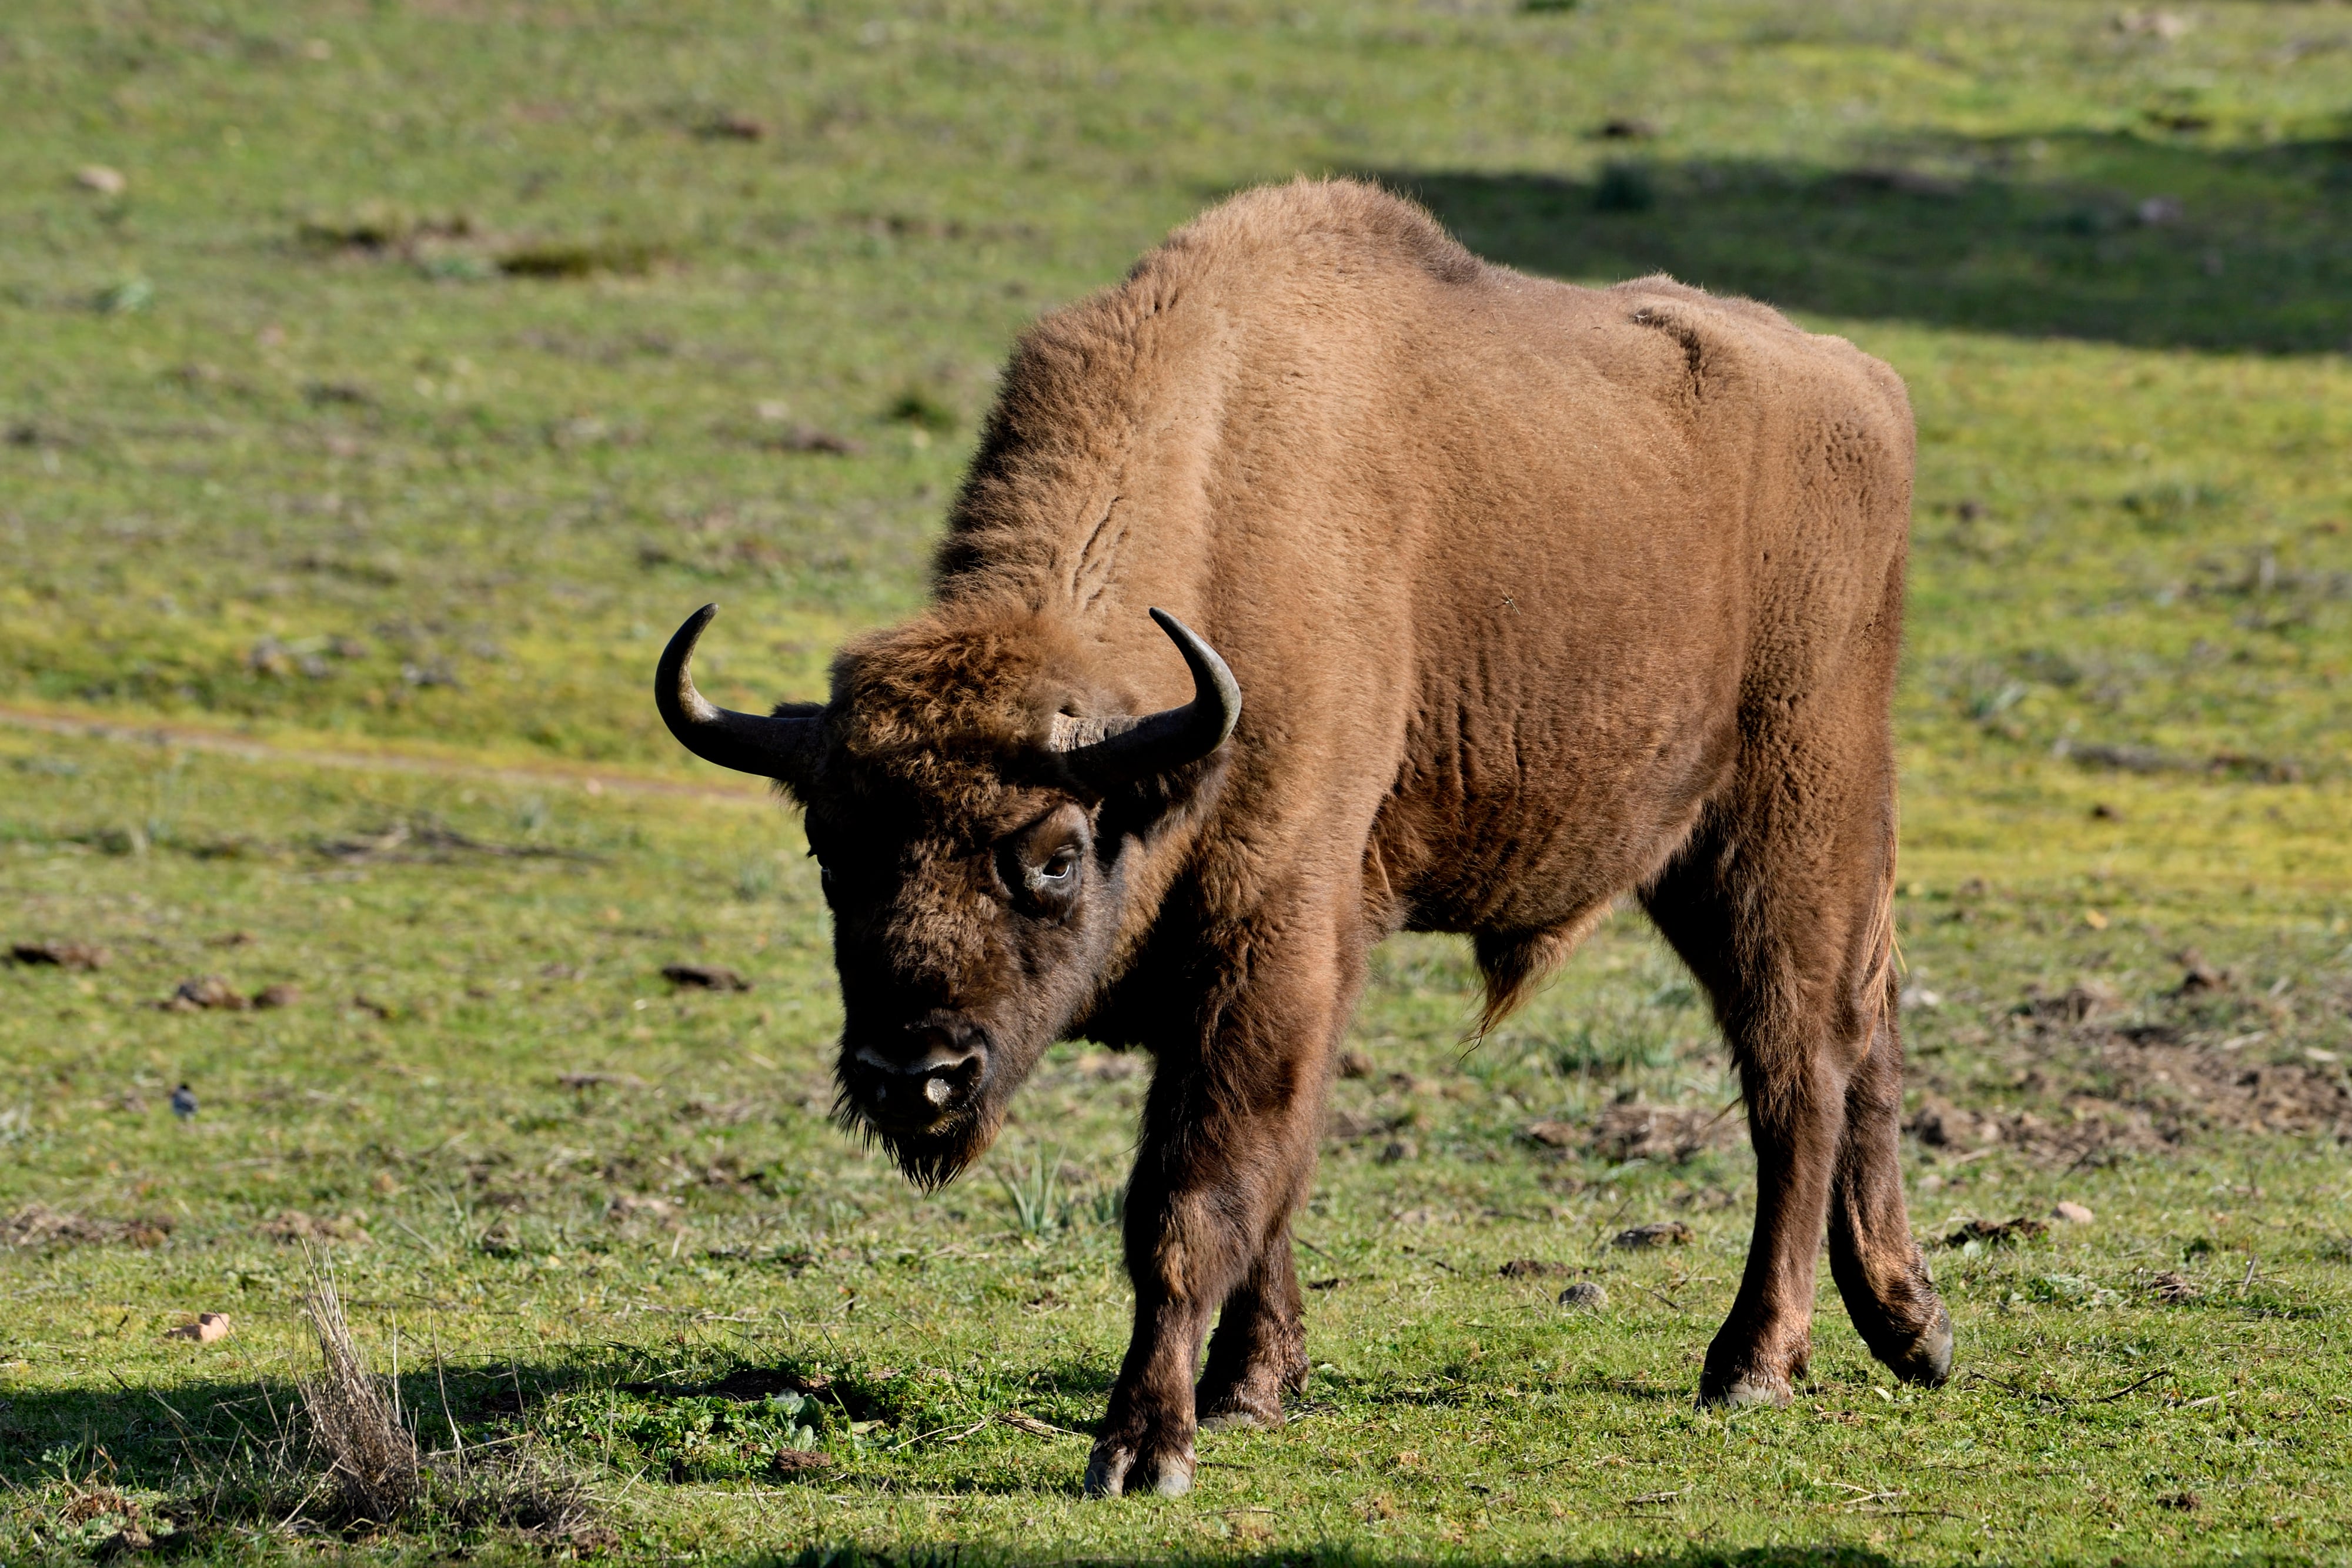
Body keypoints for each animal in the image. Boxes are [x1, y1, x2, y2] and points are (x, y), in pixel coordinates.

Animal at [659, 177, 1947, 1505]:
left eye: (1054, 854)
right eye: (831, 852)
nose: (911, 1073)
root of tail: (1861, 382)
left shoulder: (1264, 943)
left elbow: (1189, 1200)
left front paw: (1145, 1445)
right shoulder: (1289, 979)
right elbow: (1272, 1182)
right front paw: (1250, 1386)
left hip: (1786, 829)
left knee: (1799, 1068)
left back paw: (1752, 1362)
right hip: (1720, 858)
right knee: (1867, 1031)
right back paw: (1909, 1326)